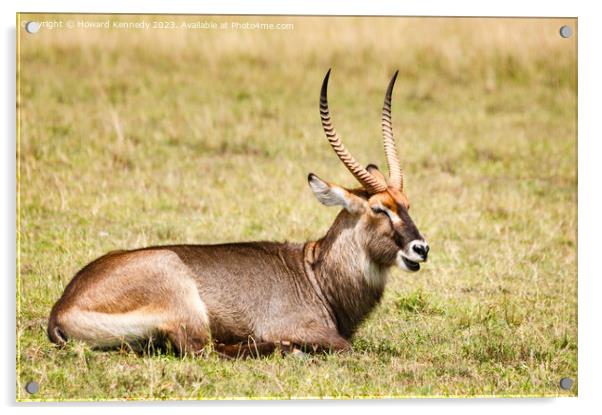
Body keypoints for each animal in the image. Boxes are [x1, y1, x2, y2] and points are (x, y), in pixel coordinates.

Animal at [49, 70, 428, 360]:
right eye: (379, 208)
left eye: (407, 204)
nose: (421, 248)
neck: (314, 273)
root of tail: (62, 308)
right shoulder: (306, 329)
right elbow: (346, 346)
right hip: (182, 297)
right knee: (203, 350)